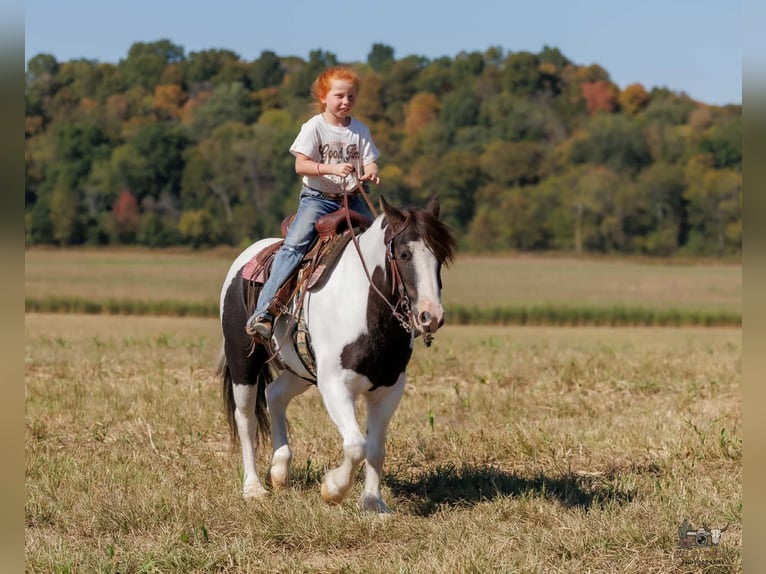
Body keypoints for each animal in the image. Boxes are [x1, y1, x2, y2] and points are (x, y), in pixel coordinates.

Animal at [216, 195, 457, 513]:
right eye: (404, 254)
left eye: (440, 256)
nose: (432, 317)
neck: (366, 309)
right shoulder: (335, 385)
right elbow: (356, 445)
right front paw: (332, 489)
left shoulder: (389, 388)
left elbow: (376, 449)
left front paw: (373, 503)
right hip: (242, 361)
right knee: (246, 418)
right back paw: (253, 488)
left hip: (301, 370)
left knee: (274, 394)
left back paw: (279, 472)